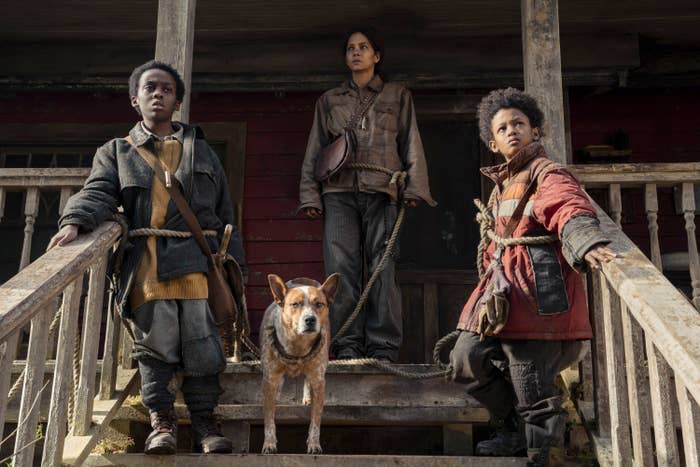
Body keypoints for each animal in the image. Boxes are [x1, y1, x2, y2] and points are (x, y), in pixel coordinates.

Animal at [262, 272, 340, 456]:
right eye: (295, 304)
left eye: (319, 304)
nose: (310, 319)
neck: (297, 347)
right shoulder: (270, 378)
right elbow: (269, 419)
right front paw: (269, 444)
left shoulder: (319, 381)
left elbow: (315, 421)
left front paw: (314, 445)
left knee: (306, 380)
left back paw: (306, 397)